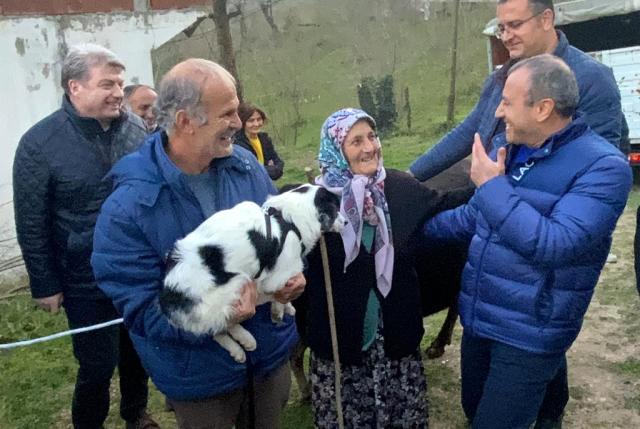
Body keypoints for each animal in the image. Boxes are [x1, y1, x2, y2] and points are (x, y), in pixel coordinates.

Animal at [159, 183, 344, 362]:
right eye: (336, 208)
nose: (346, 222)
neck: (287, 219)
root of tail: (170, 291)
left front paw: (288, 307)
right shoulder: (277, 276)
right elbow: (276, 294)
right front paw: (279, 310)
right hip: (231, 288)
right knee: (221, 327)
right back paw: (244, 340)